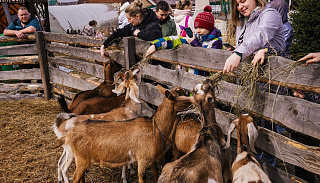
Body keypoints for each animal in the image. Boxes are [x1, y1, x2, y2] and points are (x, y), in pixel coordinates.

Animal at [60, 85, 190, 183]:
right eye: (182, 95)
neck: (157, 126)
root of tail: (70, 134)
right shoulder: (142, 160)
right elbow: (142, 179)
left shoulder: (152, 159)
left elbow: (155, 173)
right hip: (81, 158)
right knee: (75, 177)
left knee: (80, 176)